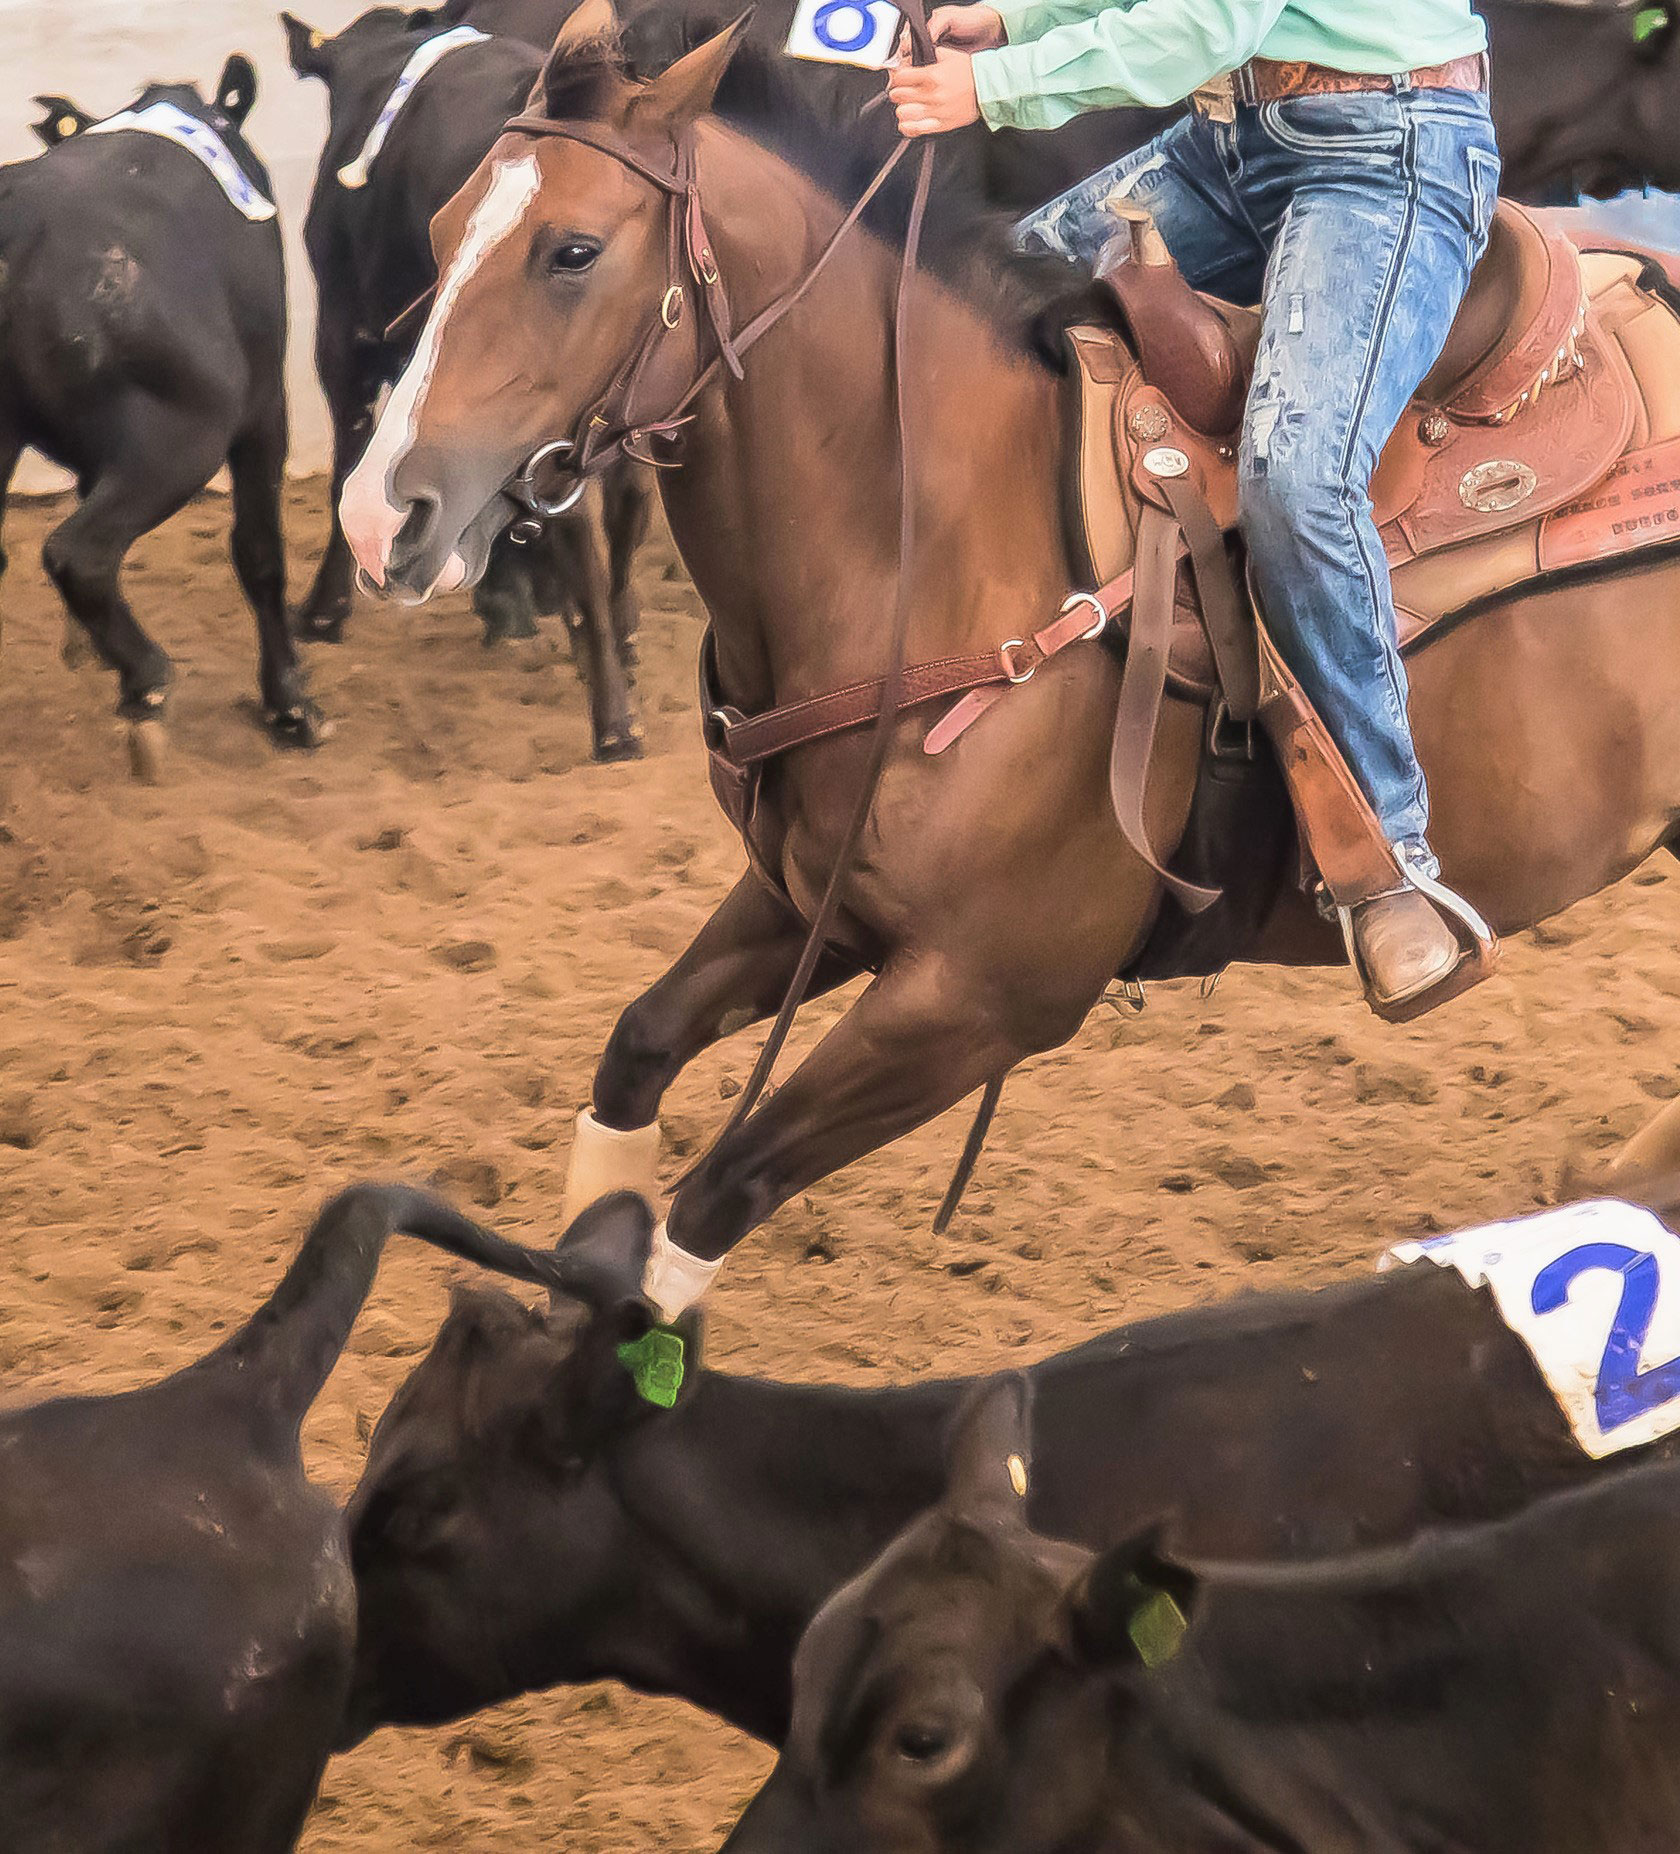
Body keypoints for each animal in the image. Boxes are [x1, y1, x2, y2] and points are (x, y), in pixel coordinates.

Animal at [0, 61, 318, 778]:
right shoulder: (263, 412)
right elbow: (260, 551)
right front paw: (289, 703)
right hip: (181, 440)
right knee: (80, 554)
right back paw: (146, 682)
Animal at [337, 10, 1676, 1290]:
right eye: (445, 226)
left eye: (571, 251)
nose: (375, 515)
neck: (939, 547)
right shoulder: (807, 901)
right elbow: (637, 1053)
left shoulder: (980, 997)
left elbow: (715, 1196)